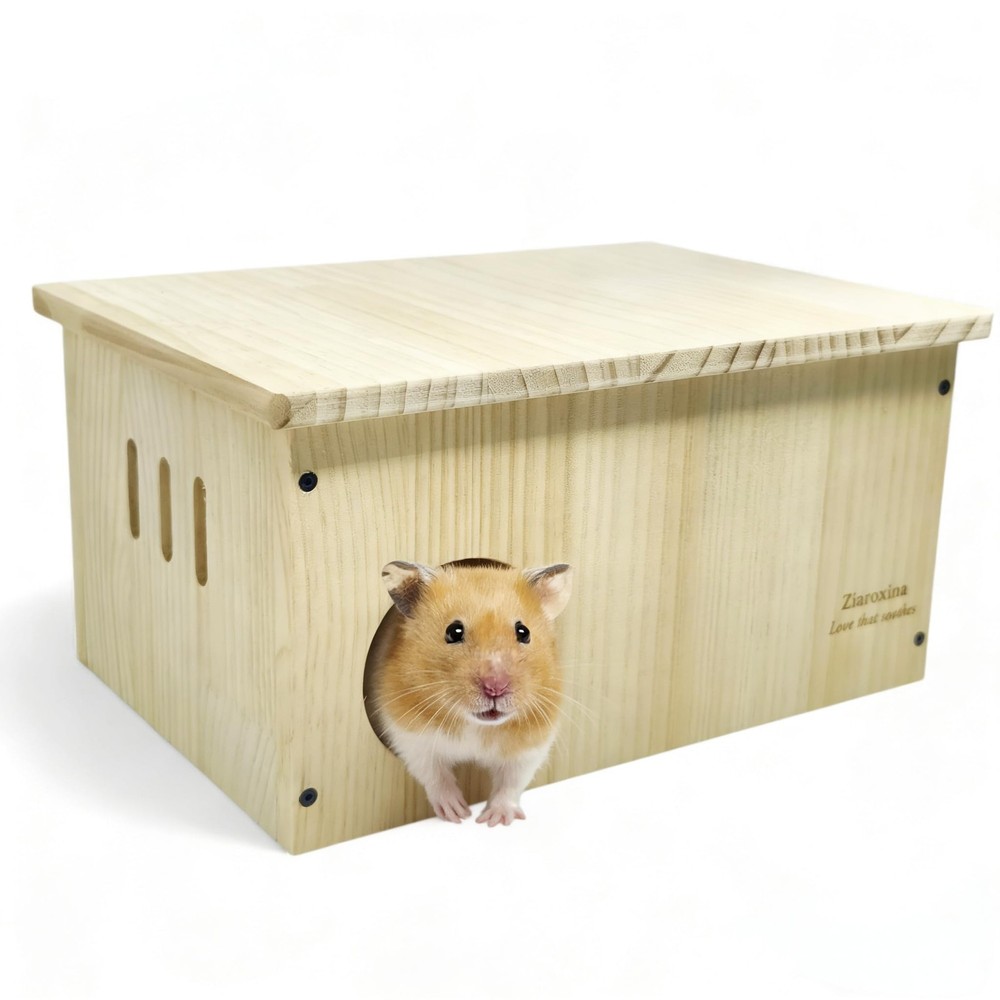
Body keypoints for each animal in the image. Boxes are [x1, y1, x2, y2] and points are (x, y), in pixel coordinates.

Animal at [369, 557, 572, 826]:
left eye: (524, 632)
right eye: (453, 631)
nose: (495, 687)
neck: (476, 725)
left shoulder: (532, 745)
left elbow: (512, 782)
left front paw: (494, 820)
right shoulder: (409, 735)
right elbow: (434, 774)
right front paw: (457, 814)